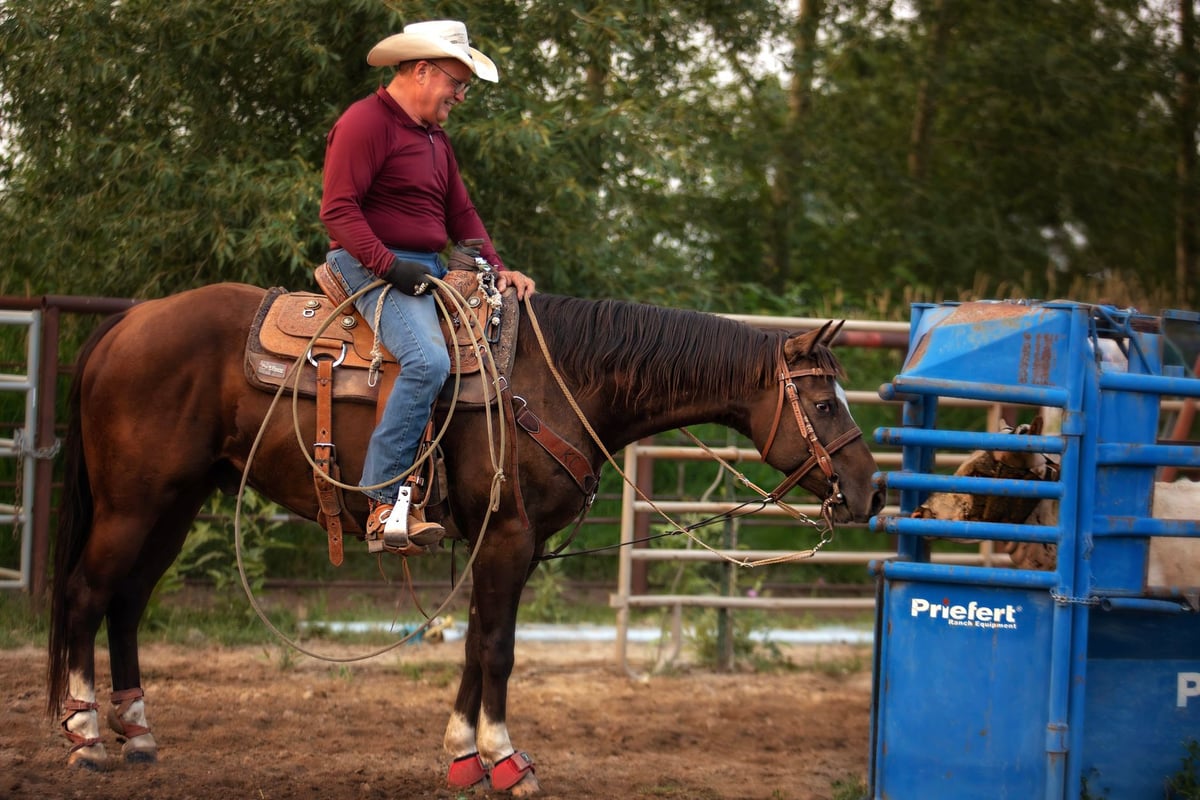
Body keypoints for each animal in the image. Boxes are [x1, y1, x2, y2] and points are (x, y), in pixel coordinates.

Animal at [46, 281, 883, 795]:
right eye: (824, 403)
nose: (870, 492)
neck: (554, 383)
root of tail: (126, 322)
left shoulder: (507, 544)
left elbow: (480, 643)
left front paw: (462, 756)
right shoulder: (507, 538)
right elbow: (500, 648)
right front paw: (505, 761)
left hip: (175, 503)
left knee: (126, 603)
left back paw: (138, 734)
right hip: (132, 503)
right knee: (88, 596)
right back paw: (86, 739)